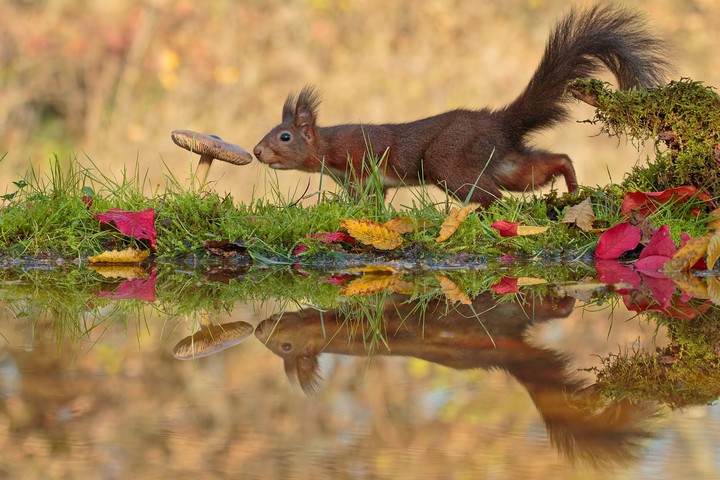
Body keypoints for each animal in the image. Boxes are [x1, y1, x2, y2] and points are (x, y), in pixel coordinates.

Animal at [253, 5, 671, 207]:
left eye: (284, 136)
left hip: (450, 160)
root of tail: (498, 123)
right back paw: (572, 187)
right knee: (546, 164)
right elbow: (370, 204)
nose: (257, 152)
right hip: (504, 162)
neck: (329, 148)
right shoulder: (364, 182)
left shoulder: (361, 162)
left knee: (494, 197)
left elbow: (362, 202)